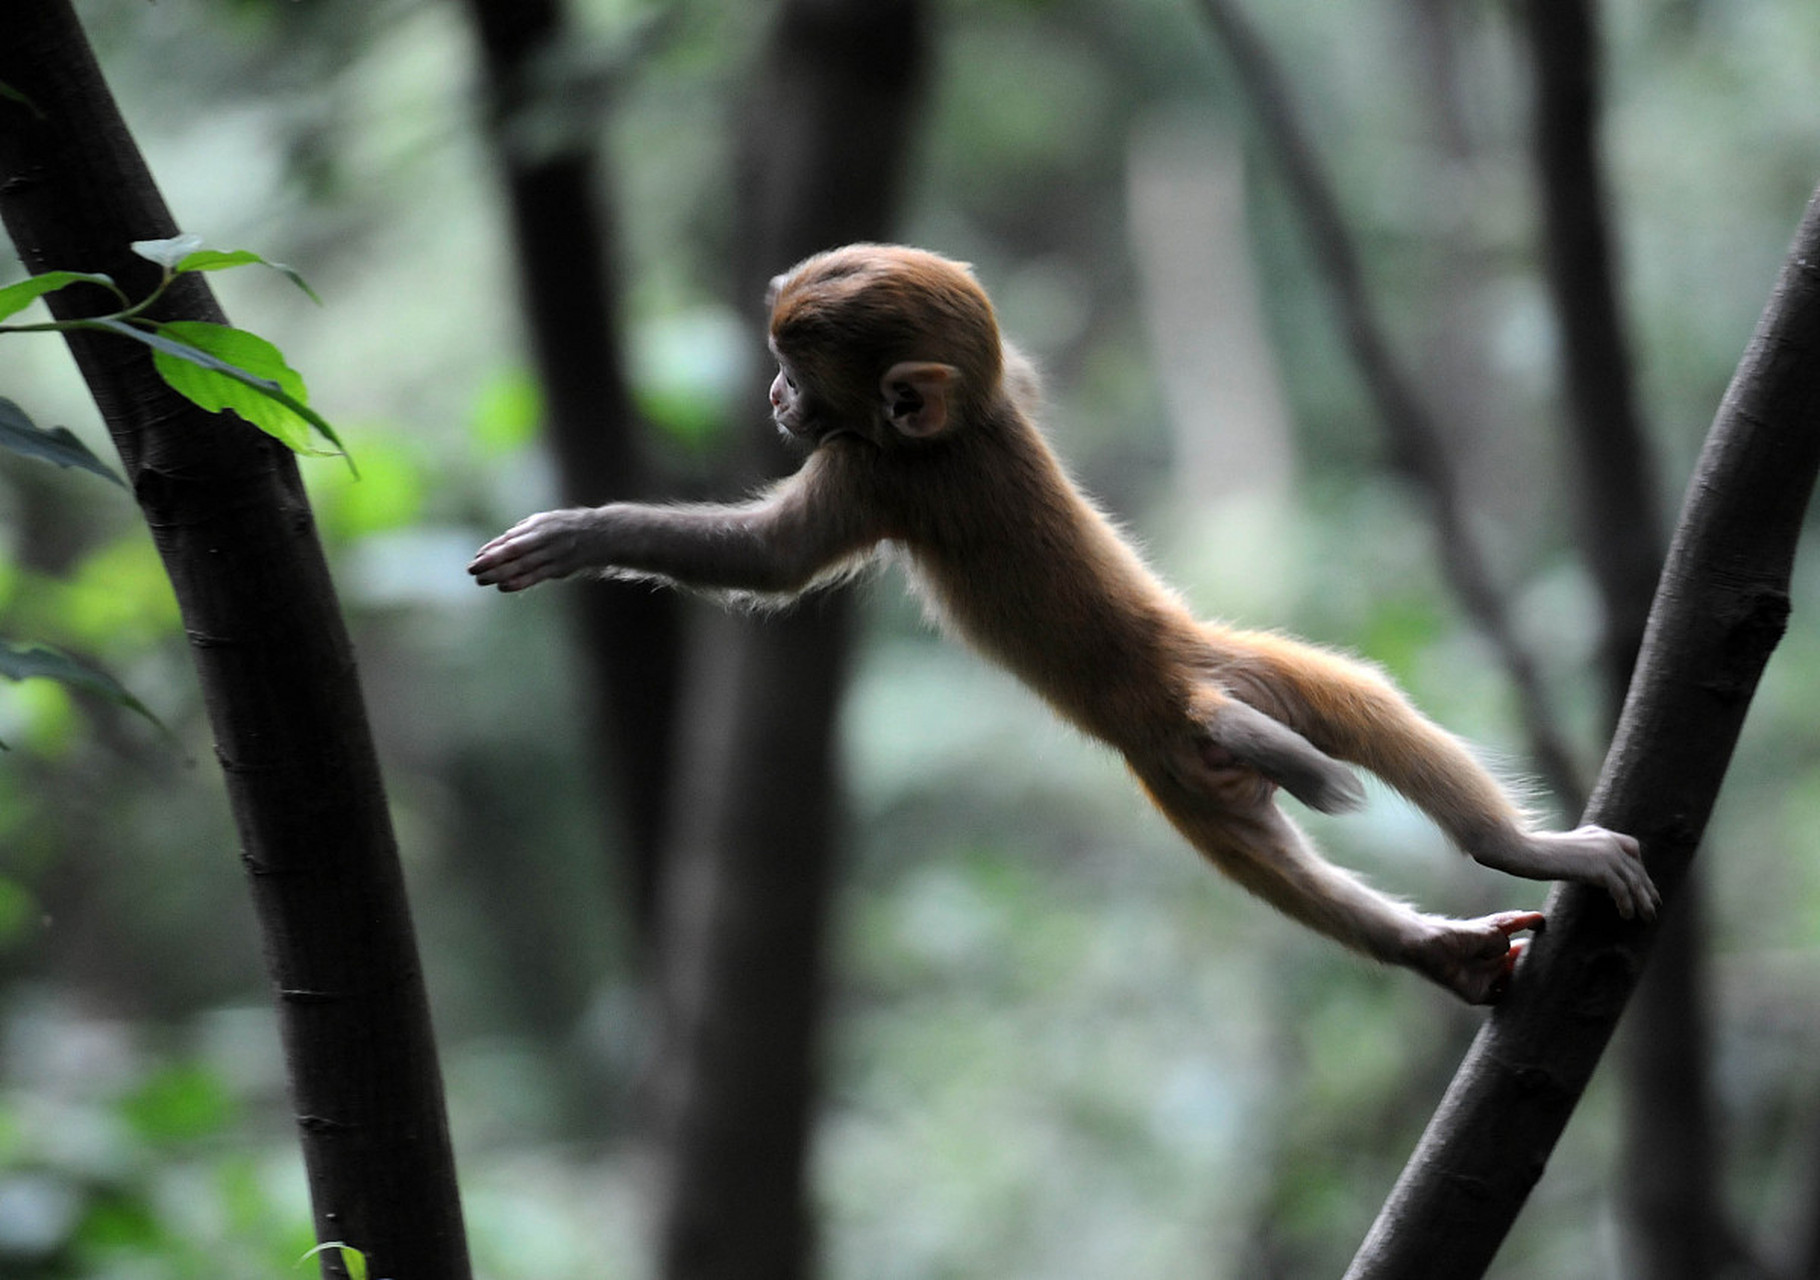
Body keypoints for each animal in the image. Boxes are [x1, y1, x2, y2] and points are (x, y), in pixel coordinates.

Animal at [462, 240, 1659, 1005]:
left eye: (797, 369)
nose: (771, 397)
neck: (968, 426)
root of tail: (1187, 688)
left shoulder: (869, 472)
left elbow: (768, 561)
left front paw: (579, 534)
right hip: (1207, 749)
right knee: (1303, 824)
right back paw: (1437, 943)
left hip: (1216, 703)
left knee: (1352, 742)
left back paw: (1517, 849)